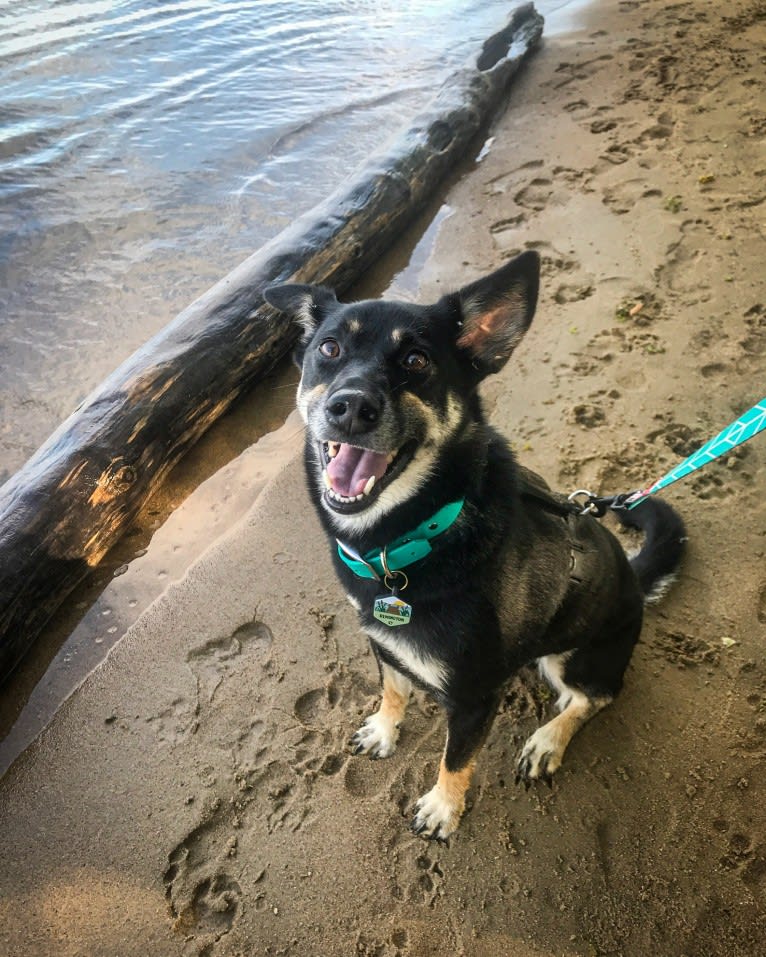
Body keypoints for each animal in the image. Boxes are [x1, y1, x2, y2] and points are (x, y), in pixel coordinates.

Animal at [264, 252, 684, 836]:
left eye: (416, 360)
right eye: (329, 349)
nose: (349, 408)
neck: (410, 539)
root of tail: (634, 582)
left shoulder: (474, 696)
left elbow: (455, 758)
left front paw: (443, 808)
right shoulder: (384, 643)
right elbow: (393, 688)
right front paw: (384, 729)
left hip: (575, 655)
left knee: (595, 696)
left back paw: (548, 740)